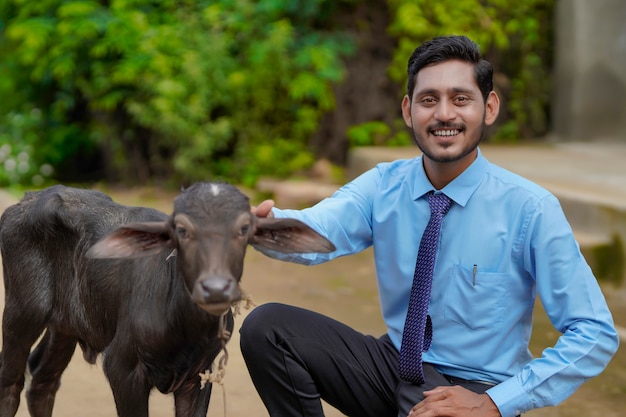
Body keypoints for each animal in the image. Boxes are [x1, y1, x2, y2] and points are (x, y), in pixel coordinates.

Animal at [0, 182, 334, 416]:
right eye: (182, 230)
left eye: (244, 229)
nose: (215, 289)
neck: (183, 328)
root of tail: (29, 197)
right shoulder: (123, 369)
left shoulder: (198, 376)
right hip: (21, 312)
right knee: (11, 382)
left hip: (66, 325)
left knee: (43, 380)